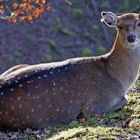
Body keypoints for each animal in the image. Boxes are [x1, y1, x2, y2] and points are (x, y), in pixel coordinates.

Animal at [0, 11, 140, 130]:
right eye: (120, 26)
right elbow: (125, 99)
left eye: (138, 23)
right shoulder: (94, 104)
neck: (118, 78)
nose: (131, 38)